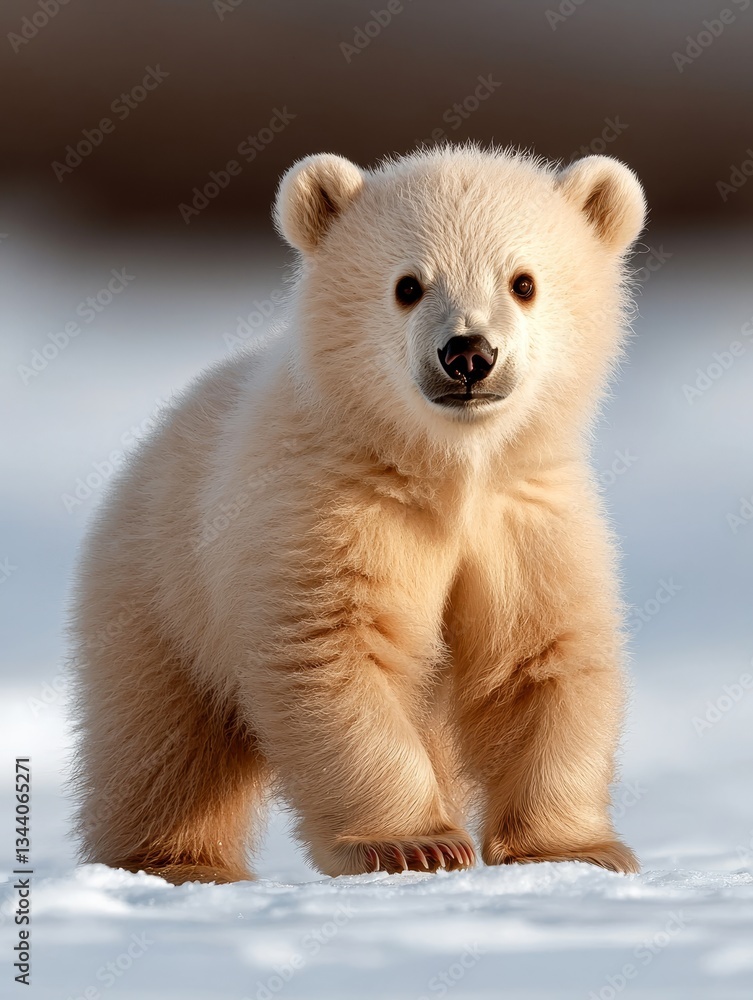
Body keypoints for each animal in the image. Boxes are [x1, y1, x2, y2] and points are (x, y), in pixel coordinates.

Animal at [70, 144, 646, 884]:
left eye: (523, 282)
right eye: (408, 285)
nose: (468, 353)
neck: (444, 470)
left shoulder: (523, 517)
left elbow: (539, 656)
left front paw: (575, 850)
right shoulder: (332, 508)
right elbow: (337, 649)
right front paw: (412, 843)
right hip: (160, 593)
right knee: (162, 737)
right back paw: (178, 860)